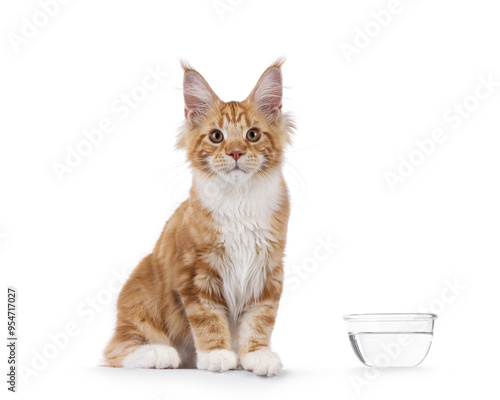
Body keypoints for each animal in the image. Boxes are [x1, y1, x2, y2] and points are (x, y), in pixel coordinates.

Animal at [103, 58, 294, 376]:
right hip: (141, 289)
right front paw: (217, 354)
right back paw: (159, 354)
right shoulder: (195, 275)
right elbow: (208, 319)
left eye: (252, 135)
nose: (235, 152)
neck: (238, 201)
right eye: (217, 136)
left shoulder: (268, 271)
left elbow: (260, 319)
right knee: (117, 350)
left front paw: (257, 355)